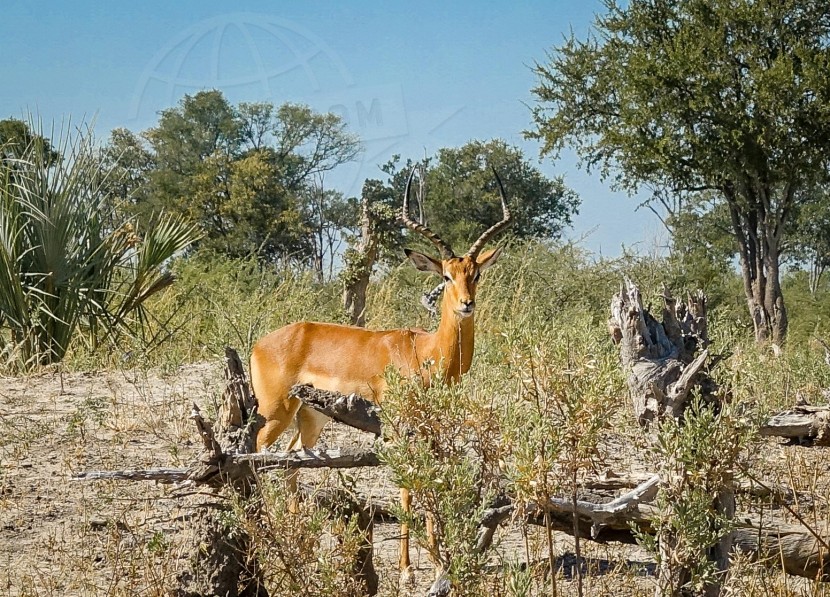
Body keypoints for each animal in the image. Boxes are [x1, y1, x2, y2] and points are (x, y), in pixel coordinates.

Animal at [250, 165, 510, 576]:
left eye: (476, 274)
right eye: (447, 275)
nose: (466, 304)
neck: (426, 353)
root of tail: (263, 342)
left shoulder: (430, 426)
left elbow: (430, 476)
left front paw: (435, 557)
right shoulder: (397, 423)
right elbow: (405, 485)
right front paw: (406, 567)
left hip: (311, 416)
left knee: (292, 460)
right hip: (276, 411)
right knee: (259, 457)